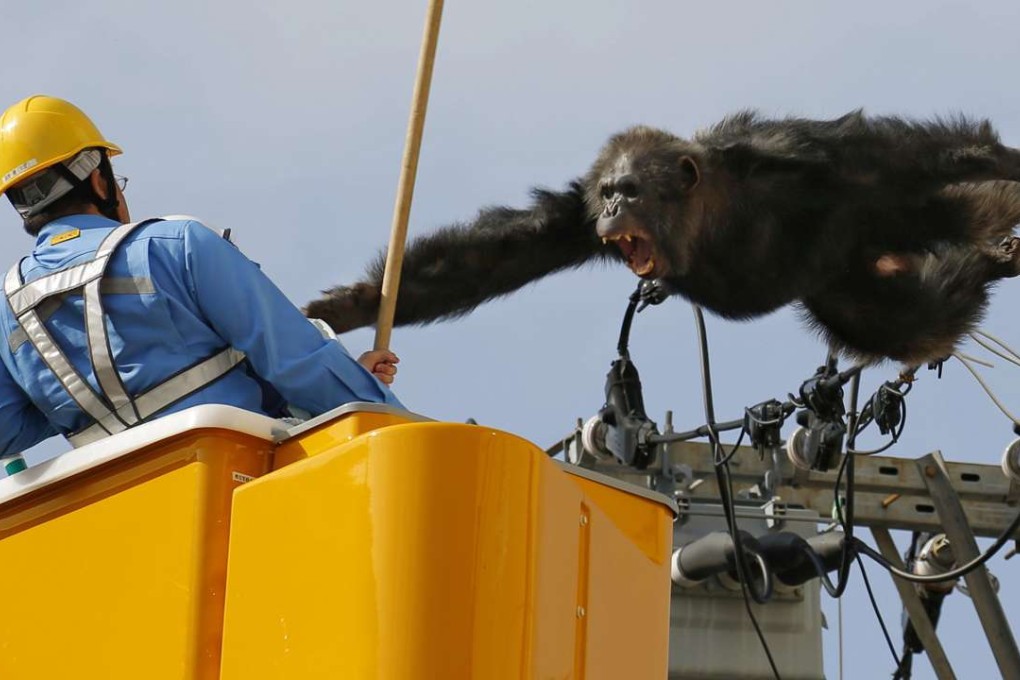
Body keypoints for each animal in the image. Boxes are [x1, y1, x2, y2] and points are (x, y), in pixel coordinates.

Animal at [305, 110, 1020, 365]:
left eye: (630, 189)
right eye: (607, 191)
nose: (613, 209)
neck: (712, 211)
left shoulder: (808, 158)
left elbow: (903, 156)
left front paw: (1002, 159)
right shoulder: (575, 219)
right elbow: (491, 257)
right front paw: (355, 304)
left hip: (893, 220)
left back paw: (992, 249)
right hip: (845, 288)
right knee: (903, 322)